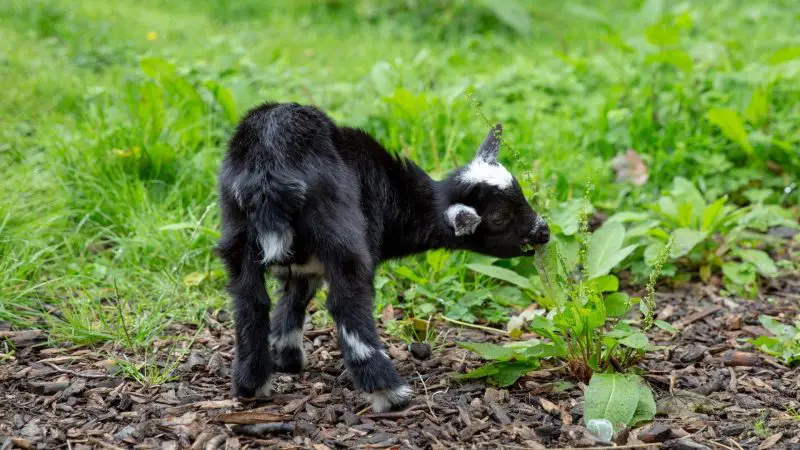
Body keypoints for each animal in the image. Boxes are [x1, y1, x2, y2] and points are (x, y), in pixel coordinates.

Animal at [214, 102, 552, 412]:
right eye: (498, 218)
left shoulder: (305, 265)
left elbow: (294, 298)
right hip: (341, 232)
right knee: (347, 303)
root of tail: (270, 167)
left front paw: (288, 357)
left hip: (236, 232)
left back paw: (250, 383)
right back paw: (389, 392)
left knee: (250, 301)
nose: (543, 231)